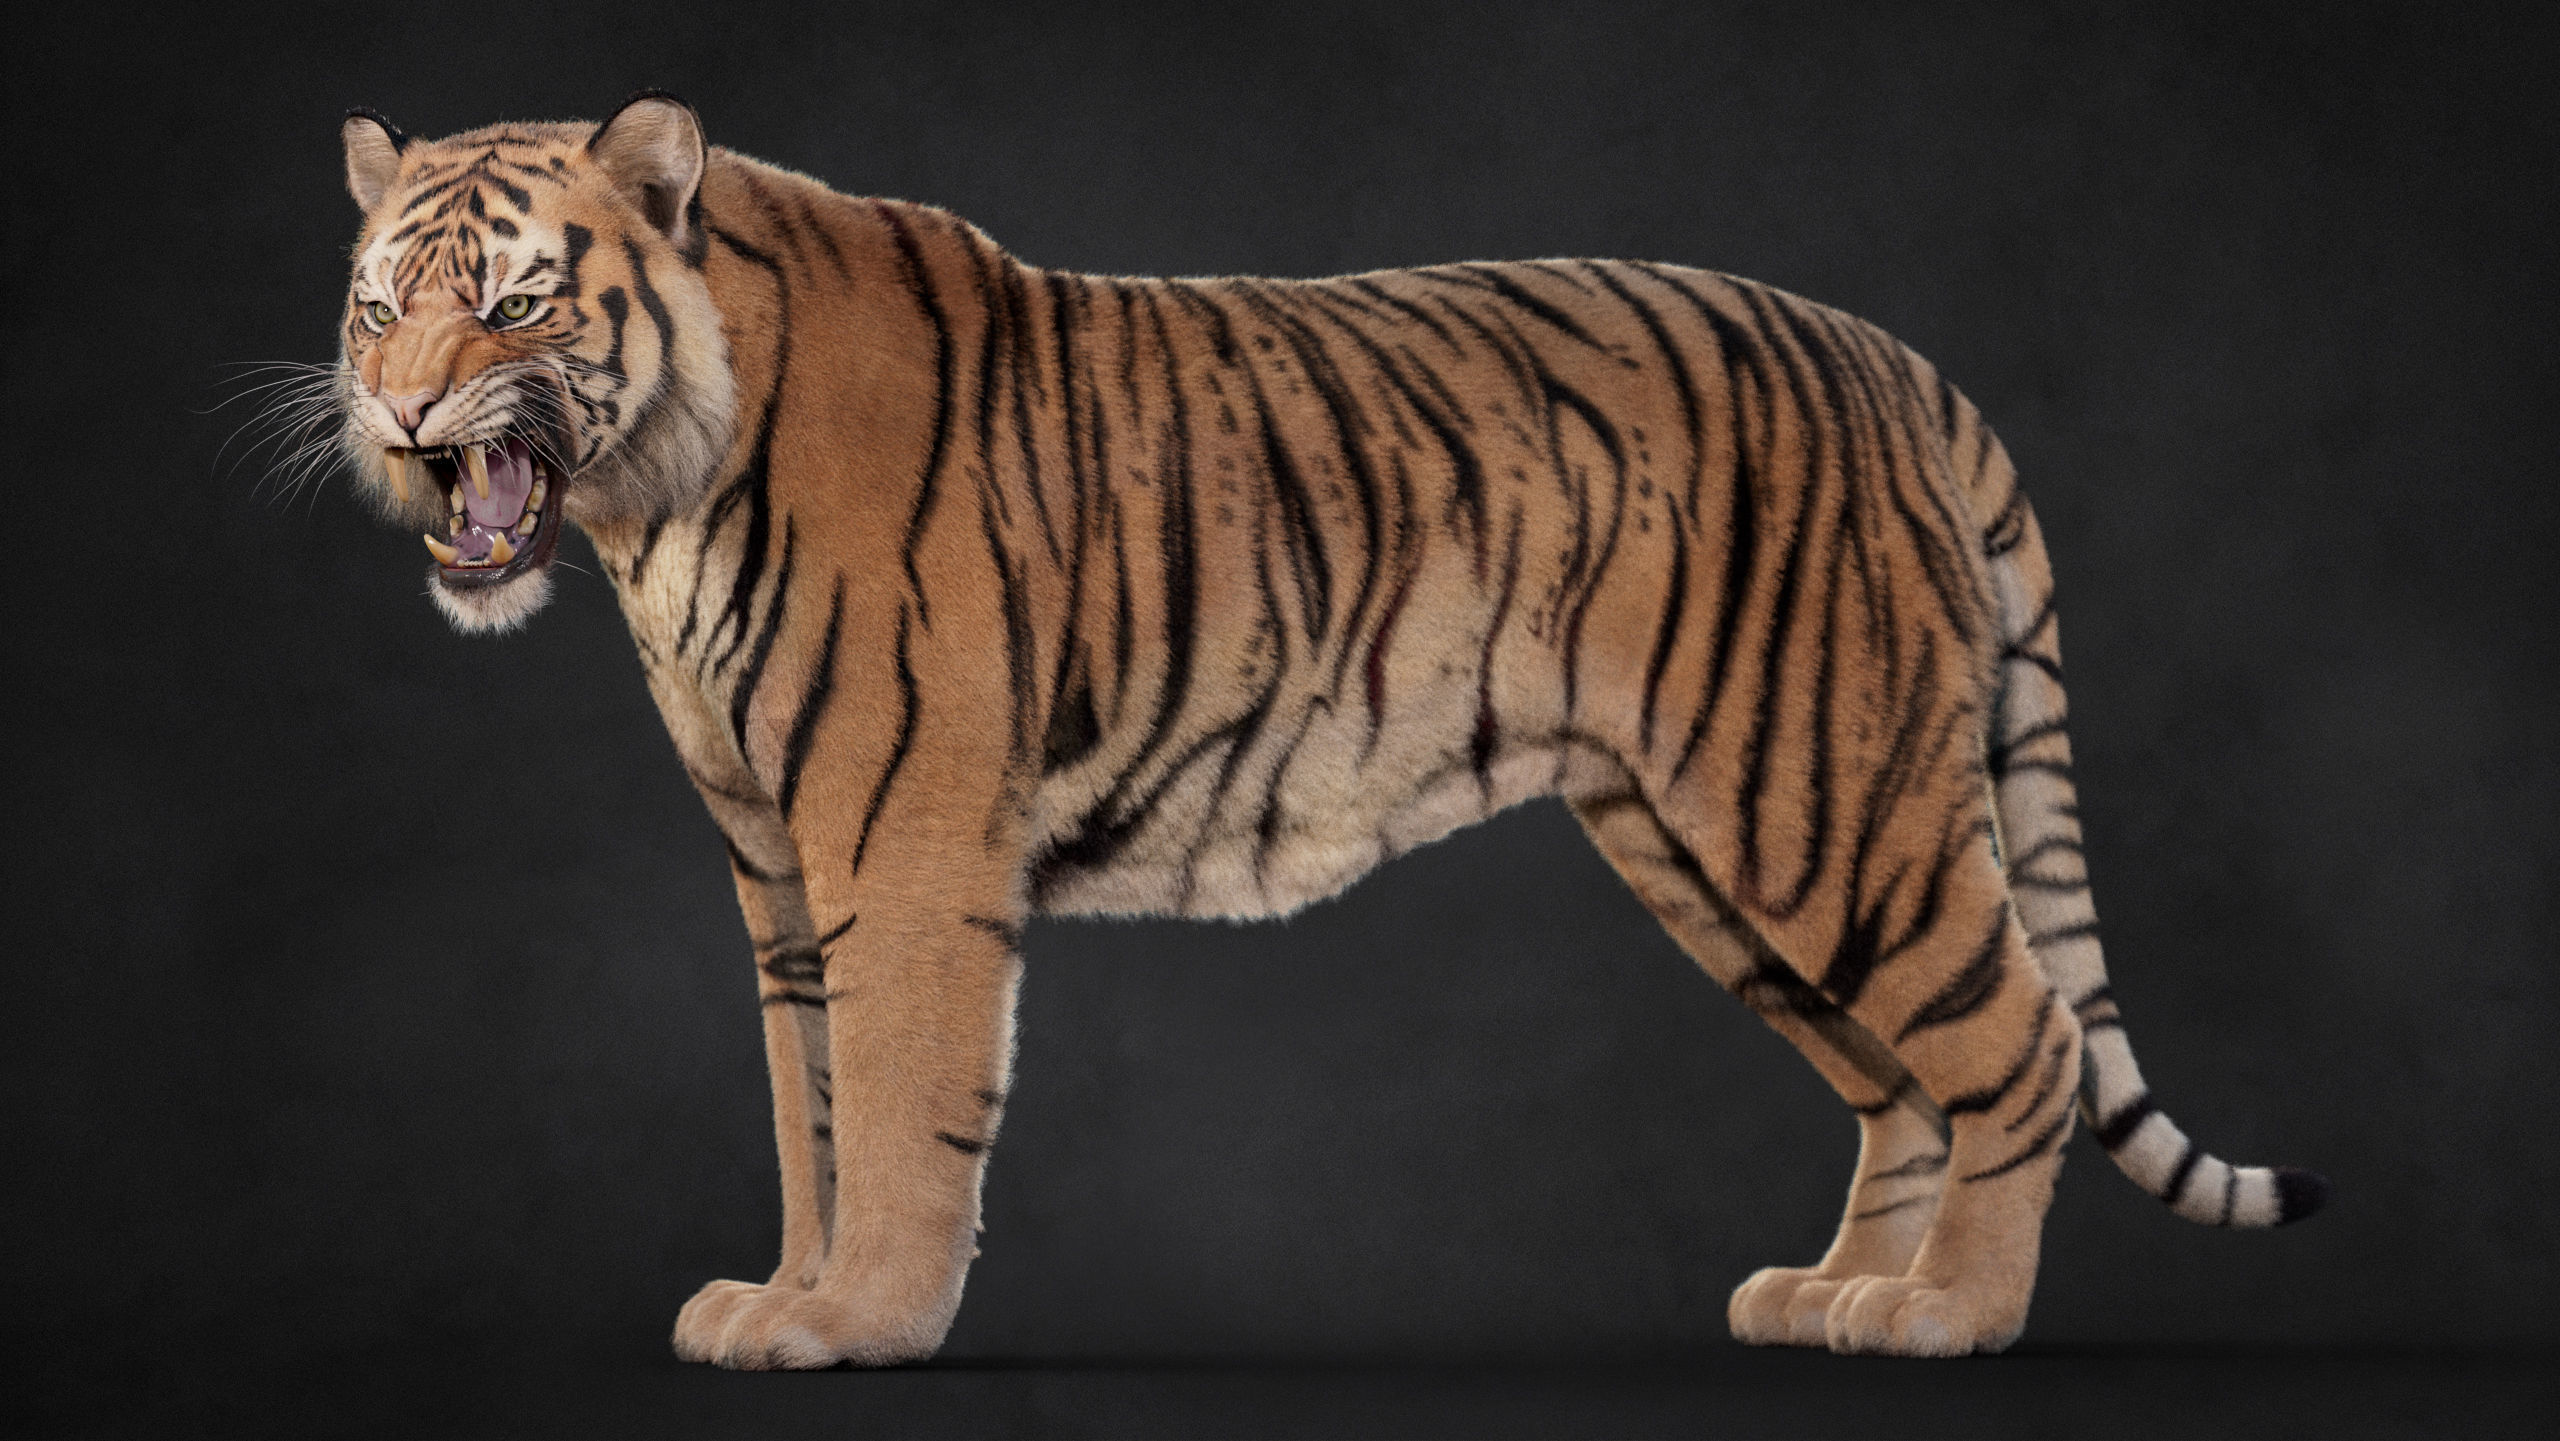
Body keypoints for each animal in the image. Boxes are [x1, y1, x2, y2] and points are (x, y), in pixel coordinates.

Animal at [325, 93, 2324, 1369]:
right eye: (373, 303)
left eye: (511, 299)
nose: (397, 414)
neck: (652, 508)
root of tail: (1906, 367)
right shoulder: (773, 861)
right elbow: (802, 1105)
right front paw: (782, 1297)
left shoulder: (899, 833)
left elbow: (892, 1102)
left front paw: (861, 1322)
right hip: (1710, 843)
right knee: (1900, 1079)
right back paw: (1830, 1296)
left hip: (1829, 799)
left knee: (2025, 1042)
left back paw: (1947, 1317)